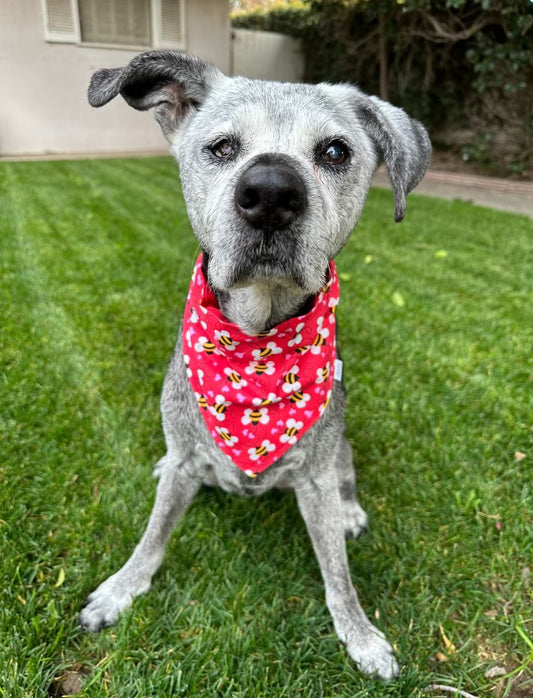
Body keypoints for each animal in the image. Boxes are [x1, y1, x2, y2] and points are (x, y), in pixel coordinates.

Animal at [78, 50, 428, 680]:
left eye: (335, 151)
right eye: (221, 146)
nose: (270, 192)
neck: (257, 349)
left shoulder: (314, 478)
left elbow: (338, 573)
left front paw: (360, 635)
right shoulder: (185, 461)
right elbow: (152, 536)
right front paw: (119, 590)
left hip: (341, 445)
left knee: (347, 473)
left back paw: (351, 511)